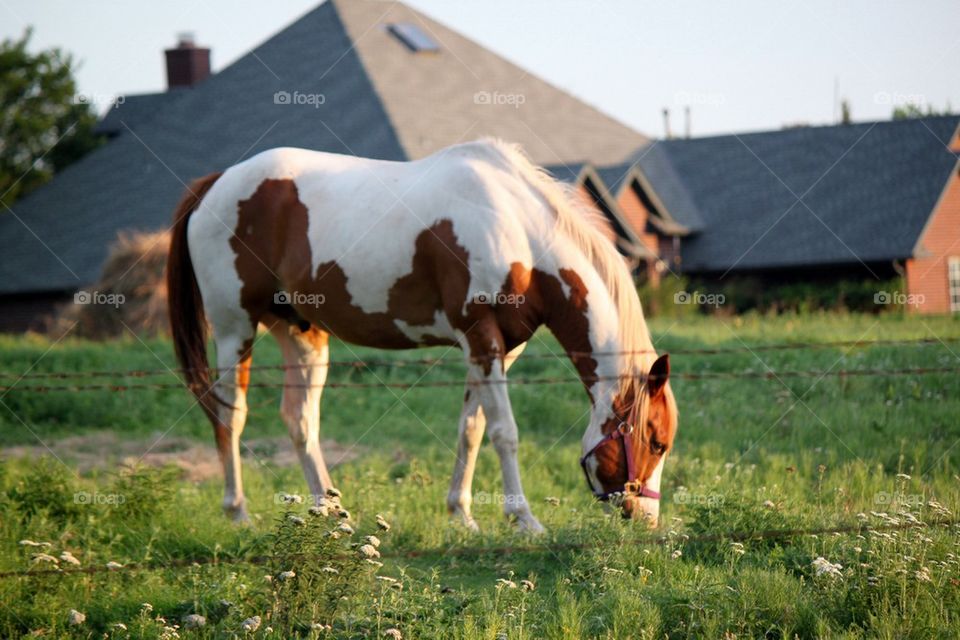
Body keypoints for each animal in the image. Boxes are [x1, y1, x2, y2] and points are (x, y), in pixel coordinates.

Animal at [167, 139, 676, 528]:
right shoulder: (481, 337)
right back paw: (239, 514)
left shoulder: (498, 348)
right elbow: (504, 432)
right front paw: (523, 520)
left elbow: (472, 428)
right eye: (657, 443)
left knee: (300, 420)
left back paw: (327, 511)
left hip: (301, 334)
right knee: (230, 416)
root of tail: (216, 182)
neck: (518, 231)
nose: (646, 521)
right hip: (234, 330)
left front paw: (462, 516)